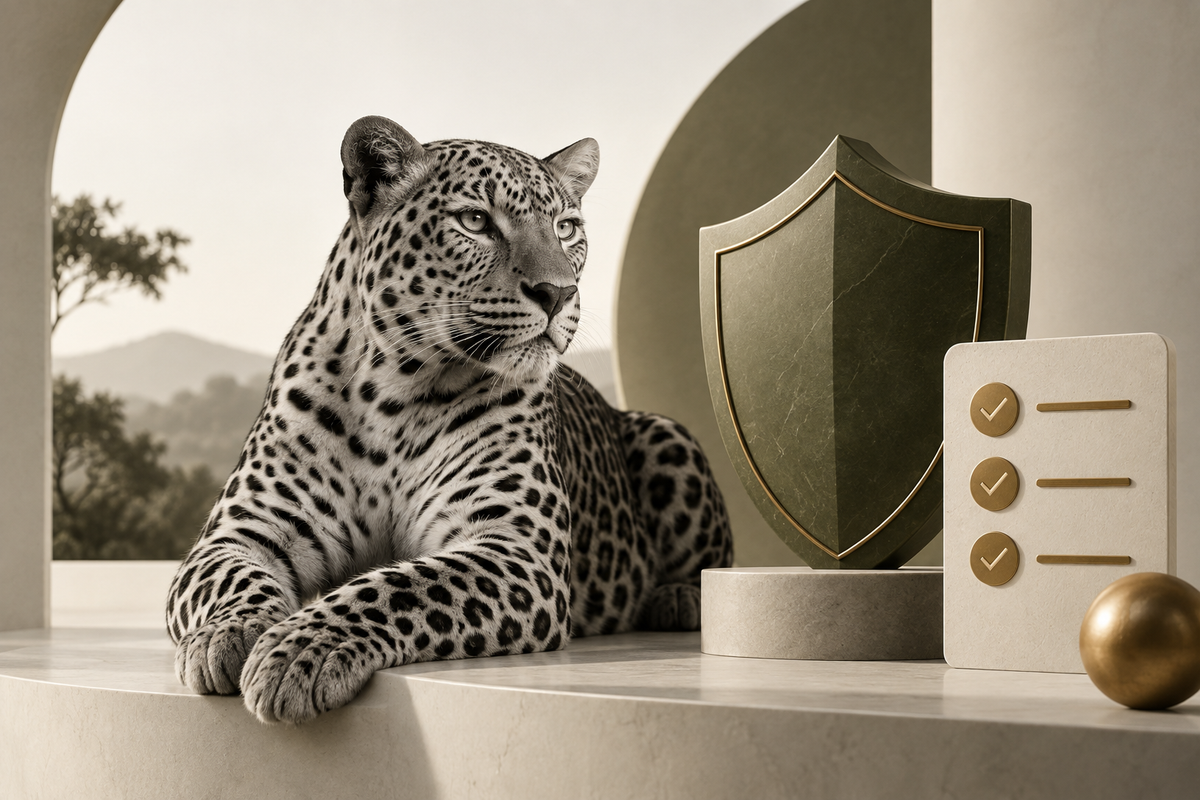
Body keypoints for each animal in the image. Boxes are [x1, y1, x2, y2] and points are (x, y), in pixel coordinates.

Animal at [166, 115, 732, 724]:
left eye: (567, 228)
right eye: (476, 221)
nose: (558, 293)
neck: (393, 392)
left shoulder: (514, 547)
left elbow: (398, 587)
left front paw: (300, 650)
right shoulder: (243, 530)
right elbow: (228, 578)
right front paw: (227, 634)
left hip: (667, 434)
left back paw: (678, 598)